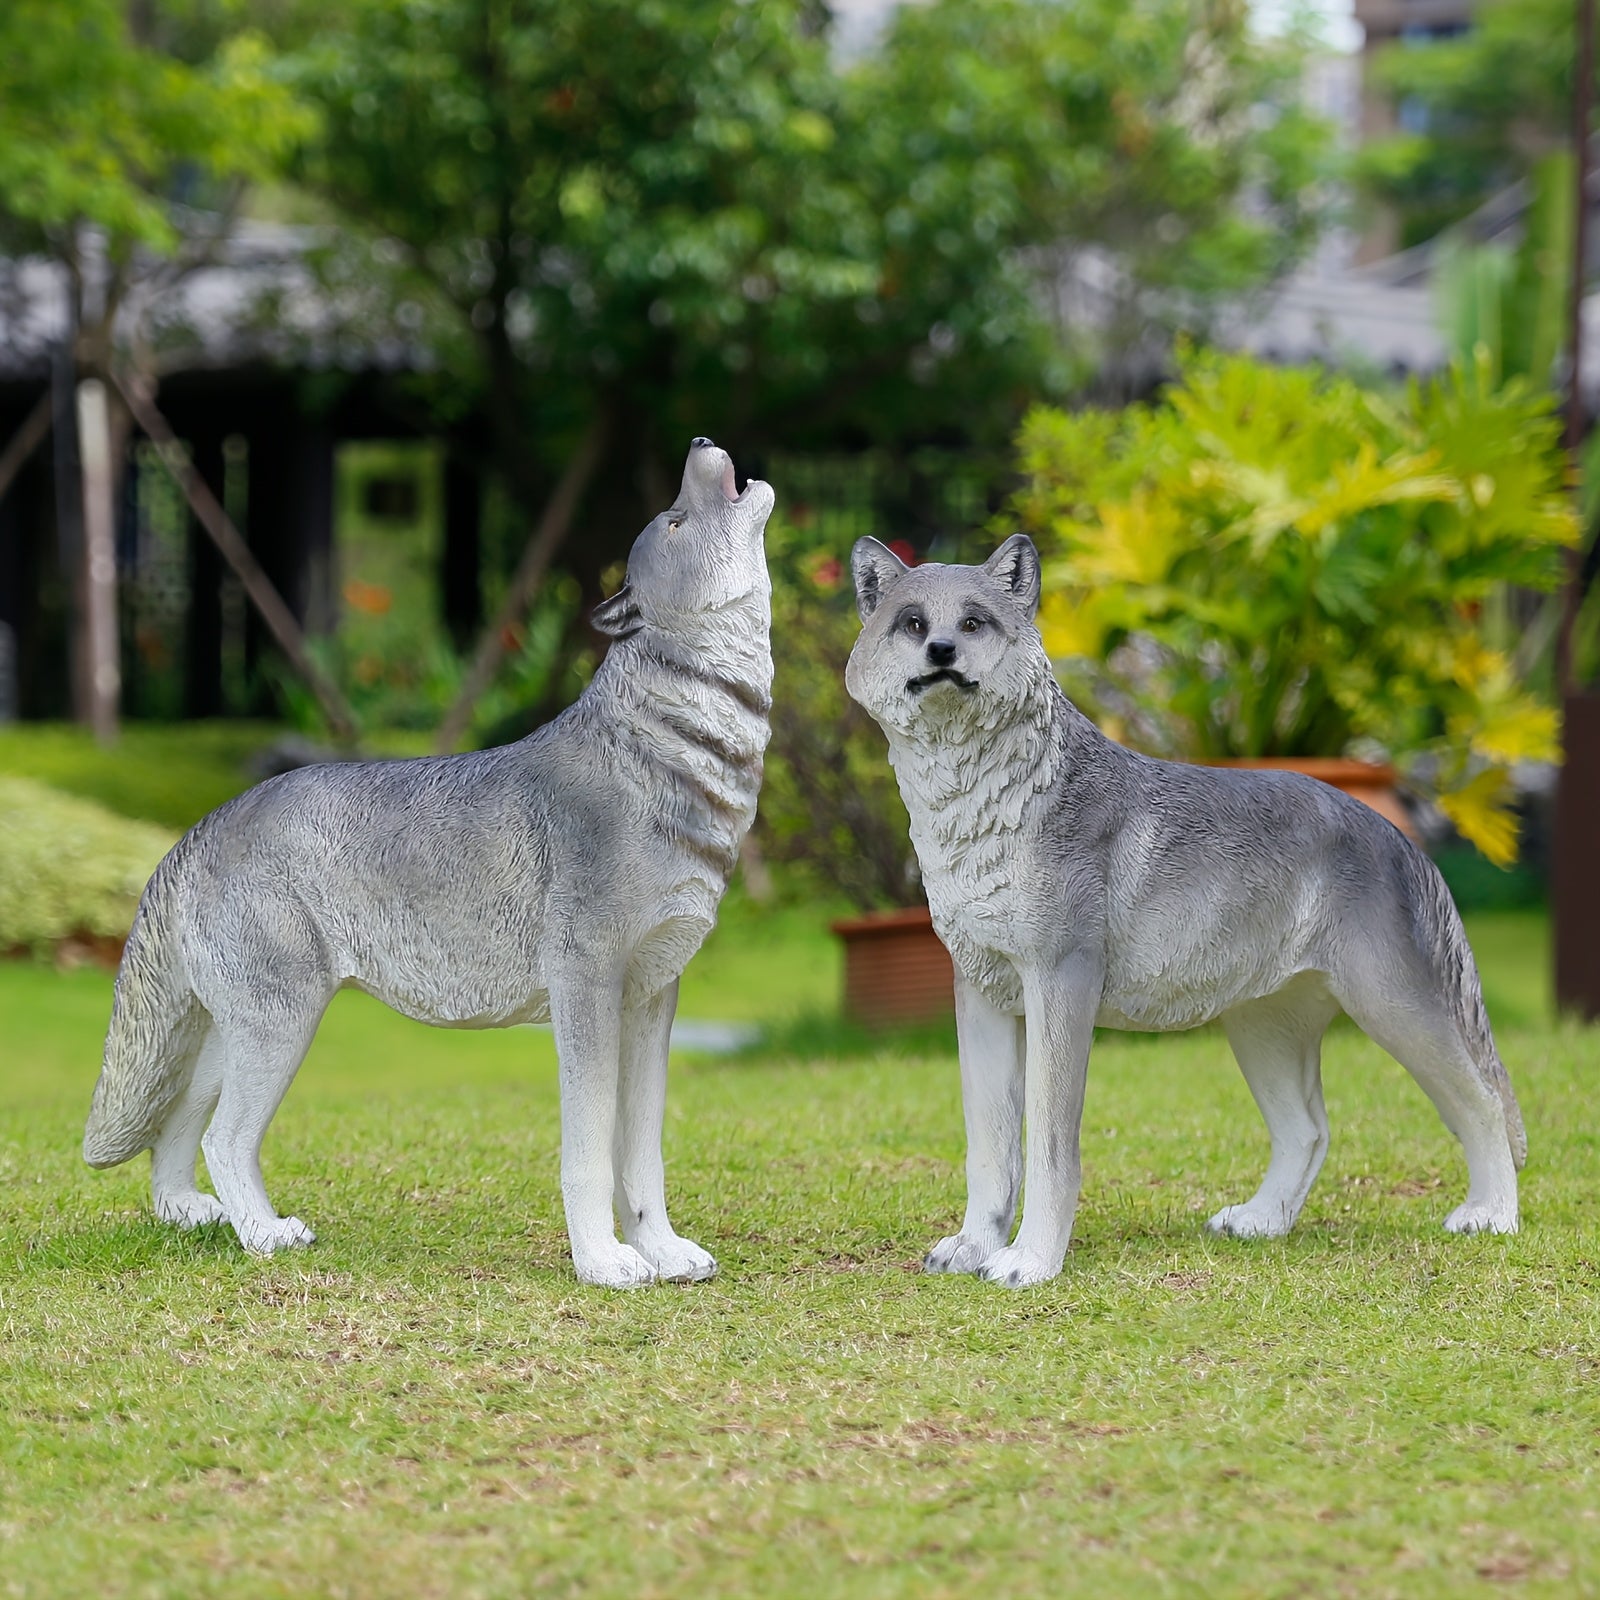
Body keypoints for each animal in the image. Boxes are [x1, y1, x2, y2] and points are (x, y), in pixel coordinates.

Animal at [83, 438, 774, 1289]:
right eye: (675, 519)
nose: (702, 444)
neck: (675, 752)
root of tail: (198, 829)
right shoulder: (586, 990)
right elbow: (590, 1153)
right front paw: (604, 1264)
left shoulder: (651, 999)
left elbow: (642, 1157)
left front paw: (663, 1253)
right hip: (280, 1027)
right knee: (222, 1137)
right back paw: (267, 1236)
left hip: (230, 1032)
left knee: (178, 1128)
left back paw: (194, 1217)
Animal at [845, 533, 1526, 1288]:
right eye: (912, 623)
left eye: (972, 624)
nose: (941, 651)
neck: (982, 804)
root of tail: (1397, 834)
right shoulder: (982, 993)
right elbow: (989, 1147)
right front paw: (972, 1248)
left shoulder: (1060, 984)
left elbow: (1049, 1147)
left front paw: (1030, 1261)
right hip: (1261, 1031)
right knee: (1310, 1131)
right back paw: (1259, 1223)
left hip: (1396, 1010)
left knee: (1484, 1103)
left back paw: (1491, 1217)